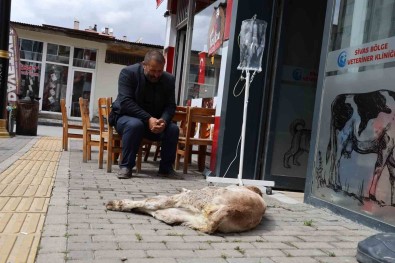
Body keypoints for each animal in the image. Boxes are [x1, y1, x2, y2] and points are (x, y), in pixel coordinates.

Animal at [105, 185, 268, 234]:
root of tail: (230, 208)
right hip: (185, 215)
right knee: (159, 212)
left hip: (188, 199)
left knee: (153, 204)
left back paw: (115, 204)